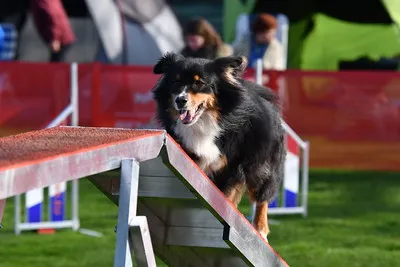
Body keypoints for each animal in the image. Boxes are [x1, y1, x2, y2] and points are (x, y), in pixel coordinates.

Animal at [152, 52, 286, 241]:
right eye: (175, 82)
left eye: (199, 83)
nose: (180, 100)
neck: (204, 122)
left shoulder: (230, 168)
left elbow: (226, 197)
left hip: (261, 165)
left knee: (263, 194)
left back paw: (260, 229)